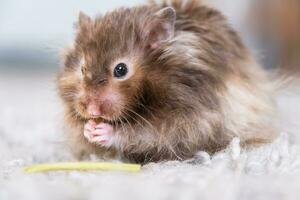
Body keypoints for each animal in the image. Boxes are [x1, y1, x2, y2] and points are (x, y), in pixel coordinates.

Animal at [56, 0, 278, 164]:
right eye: (82, 69)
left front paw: (102, 130)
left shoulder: (186, 118)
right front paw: (88, 129)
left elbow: (142, 133)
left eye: (121, 70)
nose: (92, 111)